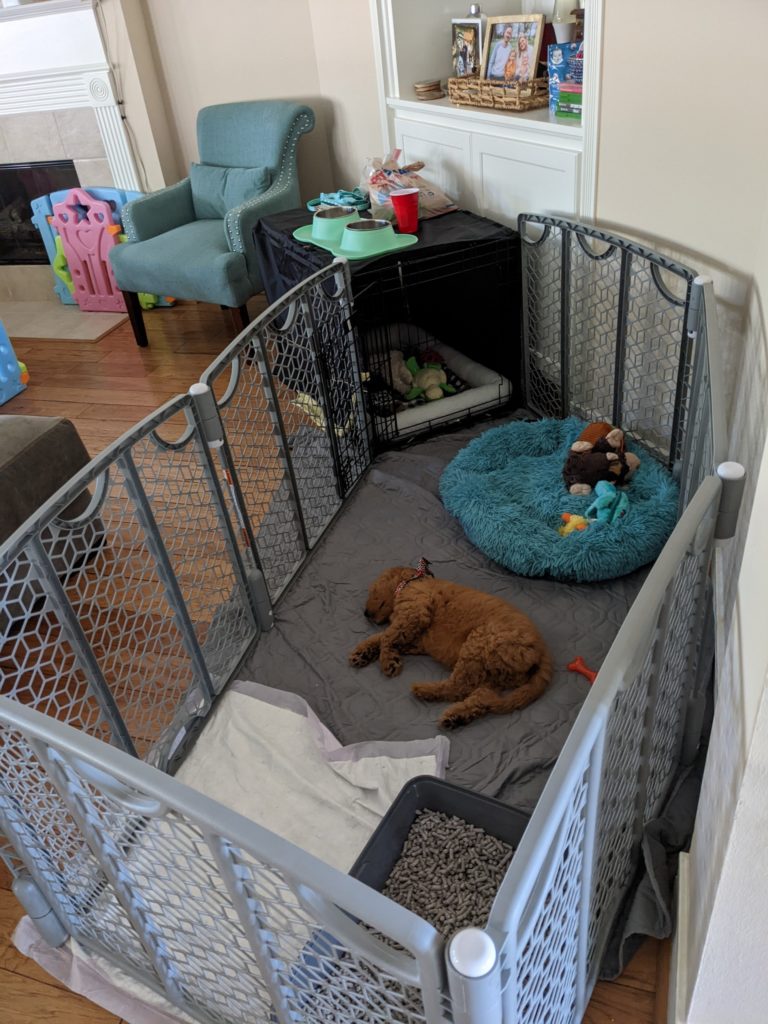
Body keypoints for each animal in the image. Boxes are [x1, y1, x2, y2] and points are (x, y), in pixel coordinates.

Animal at [348, 569, 552, 729]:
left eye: (372, 590)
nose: (365, 614)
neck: (411, 582)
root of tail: (542, 650)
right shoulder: (417, 637)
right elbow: (382, 636)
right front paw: (363, 652)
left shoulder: (415, 611)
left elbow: (387, 637)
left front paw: (387, 661)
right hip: (494, 673)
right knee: (481, 696)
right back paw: (456, 717)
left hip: (478, 643)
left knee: (458, 687)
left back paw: (424, 690)